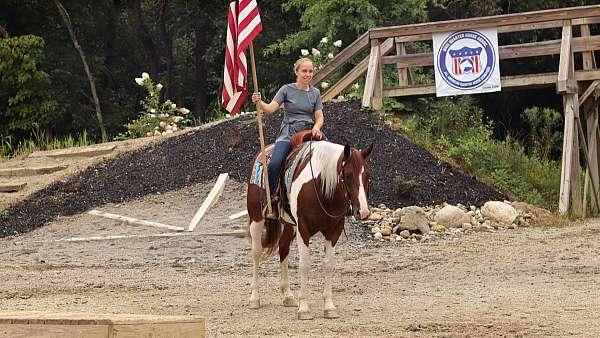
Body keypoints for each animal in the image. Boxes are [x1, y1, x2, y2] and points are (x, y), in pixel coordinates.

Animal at [246, 137, 372, 320]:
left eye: (368, 176)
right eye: (348, 175)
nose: (363, 212)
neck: (322, 187)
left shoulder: (334, 231)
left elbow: (328, 264)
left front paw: (329, 306)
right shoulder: (303, 229)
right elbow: (304, 264)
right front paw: (304, 308)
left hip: (289, 225)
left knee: (283, 249)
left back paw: (287, 296)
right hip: (256, 218)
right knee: (256, 253)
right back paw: (255, 298)